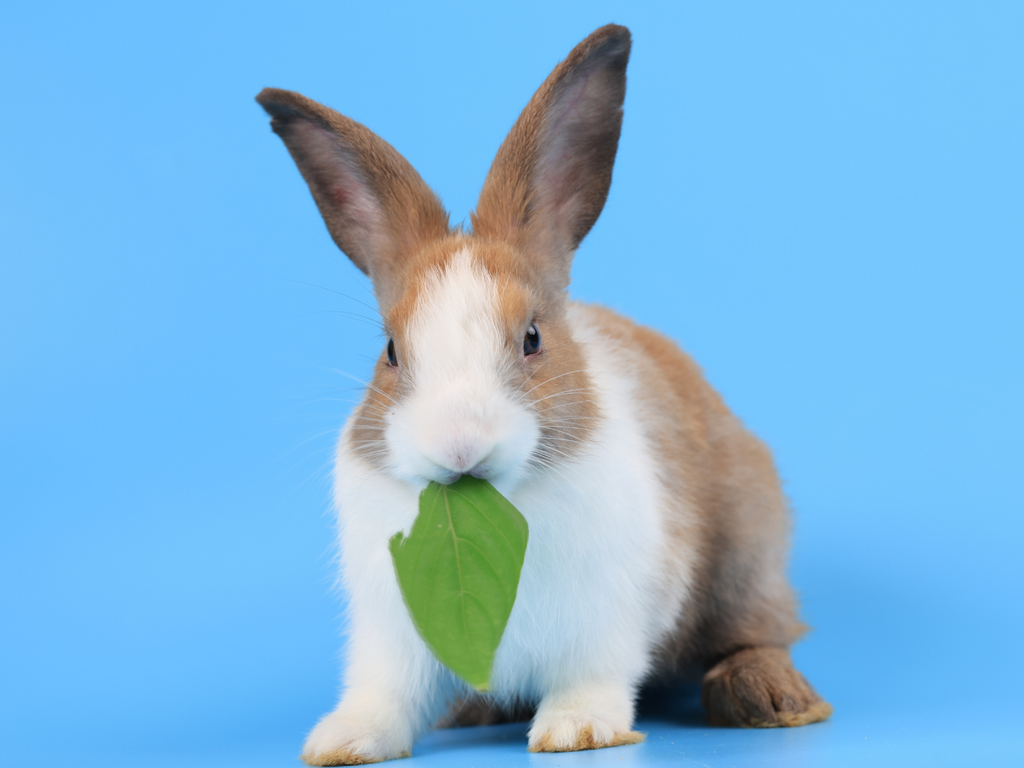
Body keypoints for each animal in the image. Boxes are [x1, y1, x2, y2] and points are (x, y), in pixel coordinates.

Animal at [253, 22, 831, 765]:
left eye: (532, 338)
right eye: (390, 352)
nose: (459, 444)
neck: (493, 502)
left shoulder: (611, 611)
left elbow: (594, 673)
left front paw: (578, 730)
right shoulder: (395, 631)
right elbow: (385, 691)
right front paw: (343, 741)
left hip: (747, 553)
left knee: (758, 631)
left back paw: (769, 699)